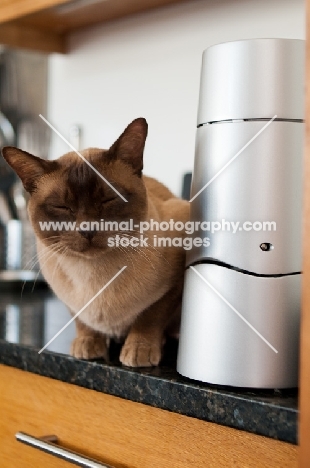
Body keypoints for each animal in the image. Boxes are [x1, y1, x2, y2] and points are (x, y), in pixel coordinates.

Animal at [2, 119, 190, 368]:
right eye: (62, 207)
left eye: (108, 199)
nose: (87, 229)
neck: (93, 274)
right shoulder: (69, 300)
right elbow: (83, 321)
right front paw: (88, 345)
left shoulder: (175, 283)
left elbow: (150, 317)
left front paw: (139, 350)